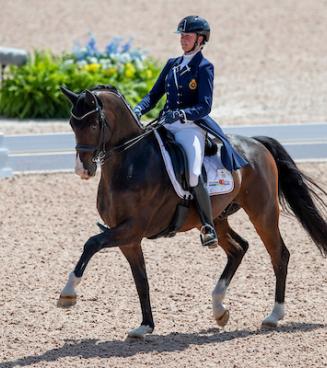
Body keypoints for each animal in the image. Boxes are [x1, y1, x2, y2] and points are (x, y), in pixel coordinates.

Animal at [57, 85, 326, 338]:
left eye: (93, 124)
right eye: (72, 124)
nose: (83, 170)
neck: (131, 162)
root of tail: (257, 143)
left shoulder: (132, 229)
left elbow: (91, 243)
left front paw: (68, 293)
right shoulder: (128, 239)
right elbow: (141, 281)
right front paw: (145, 326)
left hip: (263, 213)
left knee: (279, 254)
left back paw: (274, 315)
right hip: (216, 218)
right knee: (238, 248)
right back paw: (219, 310)